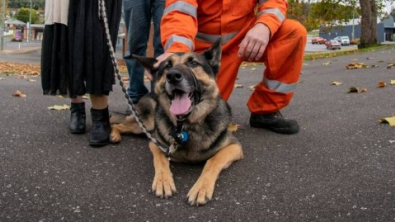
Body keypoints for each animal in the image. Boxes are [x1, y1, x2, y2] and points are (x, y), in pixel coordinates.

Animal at [110, 39, 243, 206]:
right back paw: (114, 134)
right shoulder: (156, 144)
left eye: (193, 63)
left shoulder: (234, 147)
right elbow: (161, 161)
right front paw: (163, 181)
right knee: (118, 124)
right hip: (146, 124)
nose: (172, 76)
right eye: (167, 66)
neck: (187, 127)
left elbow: (212, 161)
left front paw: (201, 187)